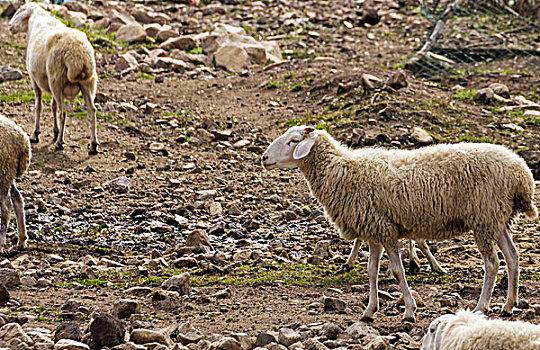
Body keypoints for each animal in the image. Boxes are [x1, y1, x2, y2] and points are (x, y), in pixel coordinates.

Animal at [8, 1, 100, 154]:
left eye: (20, 12)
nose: (9, 26)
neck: (36, 20)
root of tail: (78, 56)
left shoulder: (35, 79)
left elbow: (38, 105)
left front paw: (36, 133)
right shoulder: (50, 82)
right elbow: (53, 105)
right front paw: (55, 131)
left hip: (58, 79)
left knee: (63, 112)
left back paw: (60, 143)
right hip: (85, 82)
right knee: (92, 111)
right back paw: (93, 144)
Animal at [260, 125, 536, 322]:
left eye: (293, 141)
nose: (264, 158)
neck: (343, 170)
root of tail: (521, 173)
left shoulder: (385, 229)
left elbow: (397, 271)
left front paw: (409, 311)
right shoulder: (373, 229)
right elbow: (372, 270)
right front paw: (369, 310)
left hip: (484, 216)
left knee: (492, 263)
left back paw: (482, 306)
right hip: (496, 218)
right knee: (512, 256)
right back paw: (508, 306)